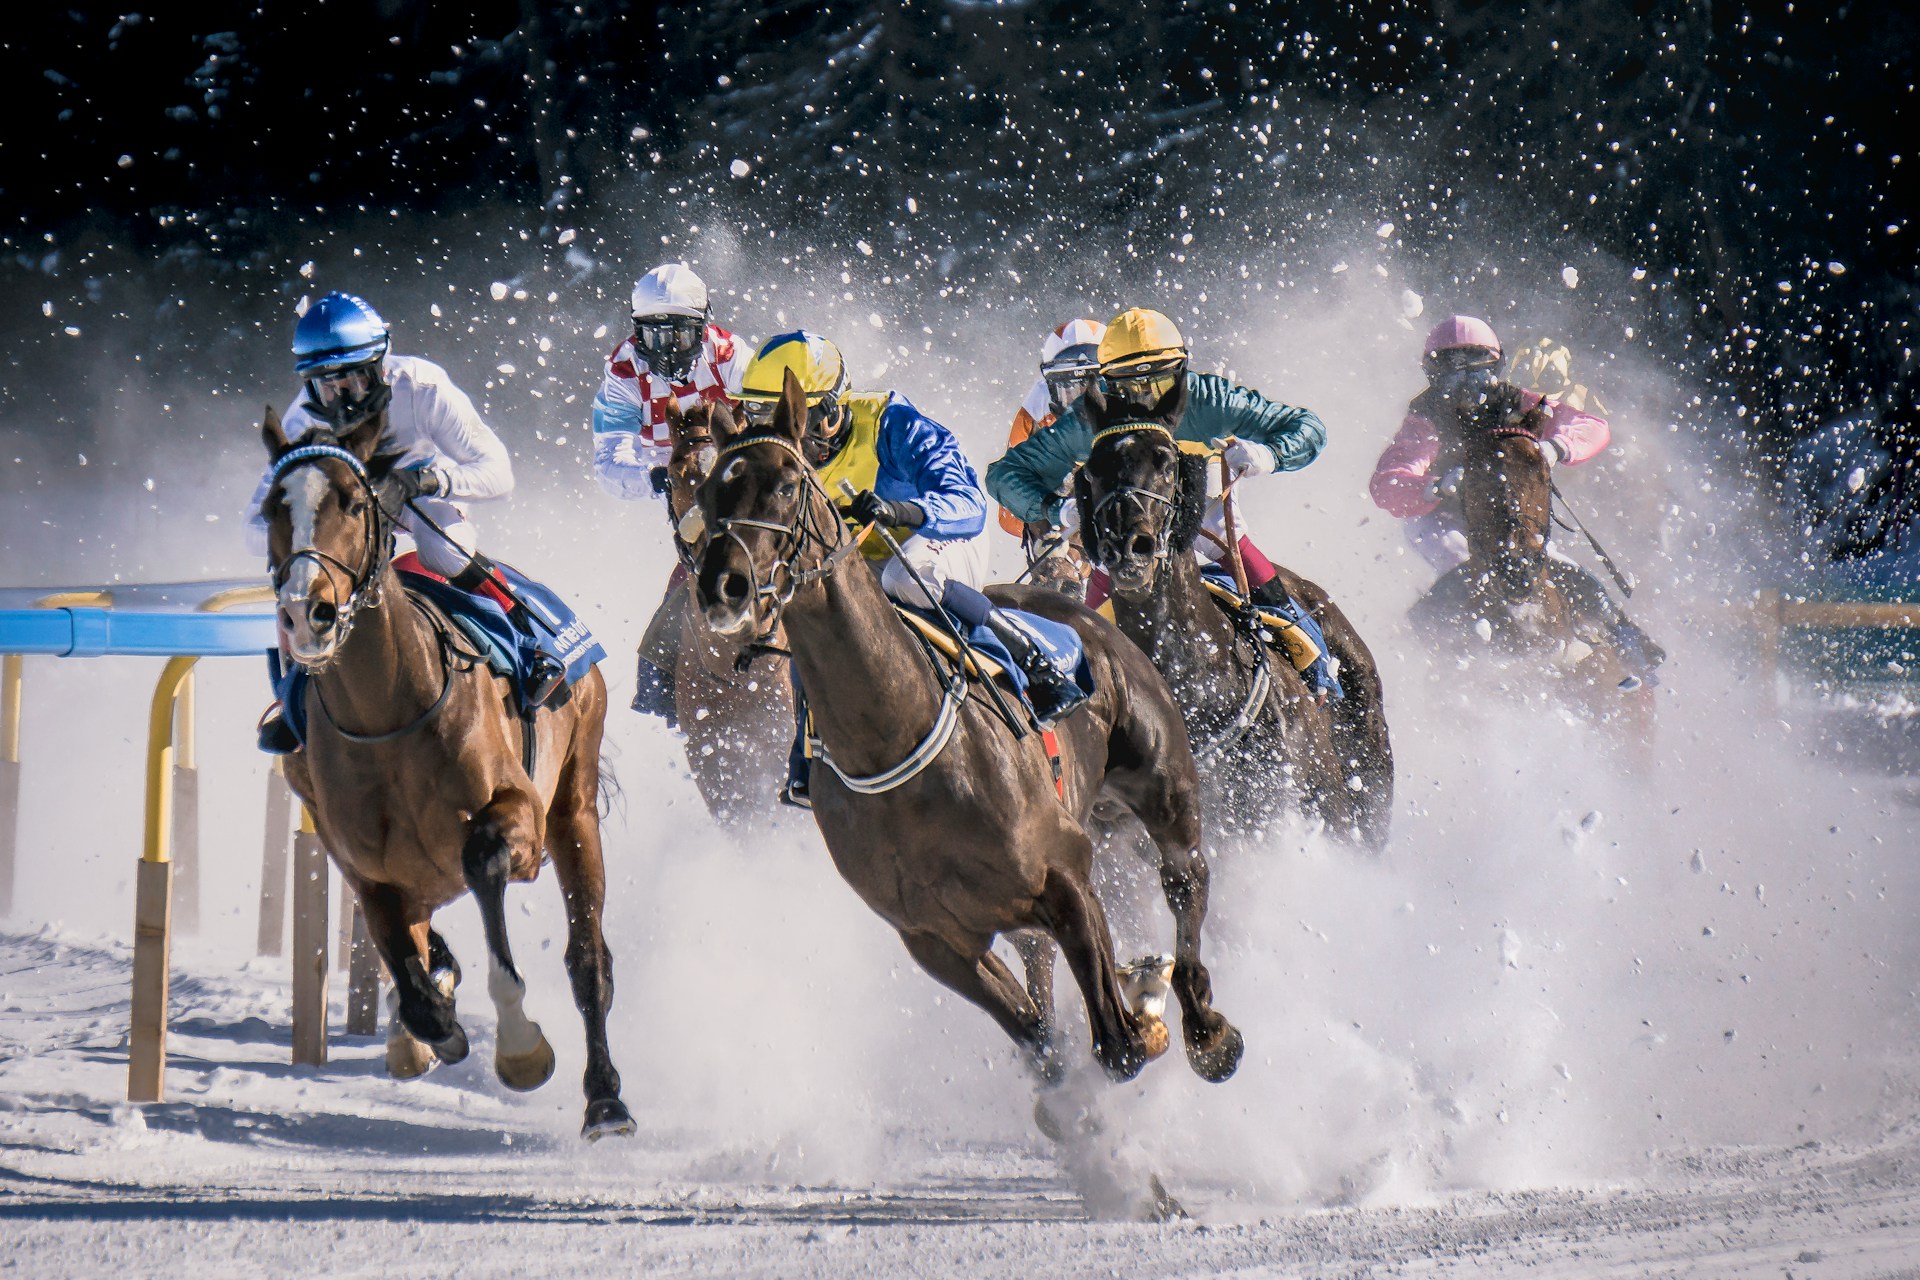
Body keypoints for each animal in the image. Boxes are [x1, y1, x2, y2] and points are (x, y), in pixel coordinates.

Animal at [259, 404, 633, 1136]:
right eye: (269, 509)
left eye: (352, 500)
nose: (304, 612)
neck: (388, 715)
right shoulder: (367, 867)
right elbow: (412, 979)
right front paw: (430, 1023)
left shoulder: (519, 820)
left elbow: (483, 863)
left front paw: (520, 1048)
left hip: (574, 803)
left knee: (588, 961)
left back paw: (605, 1100)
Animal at [691, 368, 1244, 1105]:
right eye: (706, 493)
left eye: (785, 482)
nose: (721, 586)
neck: (897, 741)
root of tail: (1082, 603)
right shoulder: (935, 940)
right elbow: (1041, 1039)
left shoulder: (1064, 873)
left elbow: (1120, 1041)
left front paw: (1146, 1006)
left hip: (1163, 782)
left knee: (1186, 877)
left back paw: (1203, 1024)